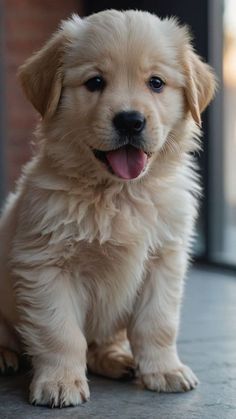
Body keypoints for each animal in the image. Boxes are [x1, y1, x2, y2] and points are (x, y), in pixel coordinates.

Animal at [0, 9, 216, 408]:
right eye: (95, 82)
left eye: (156, 83)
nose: (130, 120)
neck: (120, 195)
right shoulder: (46, 265)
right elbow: (60, 332)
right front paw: (59, 382)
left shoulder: (164, 259)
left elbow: (158, 323)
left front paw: (164, 370)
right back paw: (3, 355)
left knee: (102, 343)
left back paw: (117, 359)